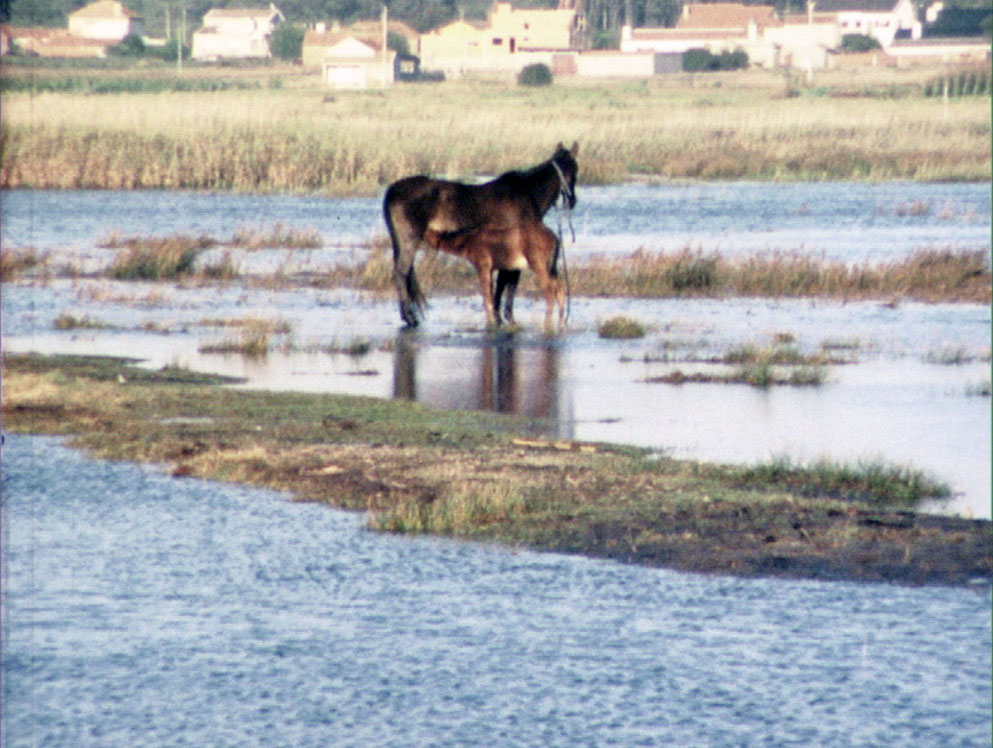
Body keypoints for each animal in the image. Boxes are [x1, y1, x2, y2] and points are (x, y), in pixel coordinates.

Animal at [426, 219, 564, 330]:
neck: (465, 244)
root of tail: (555, 240)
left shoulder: (484, 267)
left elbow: (488, 298)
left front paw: (490, 323)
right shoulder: (501, 269)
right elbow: (495, 297)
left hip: (539, 265)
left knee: (550, 291)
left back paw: (546, 323)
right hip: (552, 267)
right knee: (560, 289)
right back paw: (562, 320)